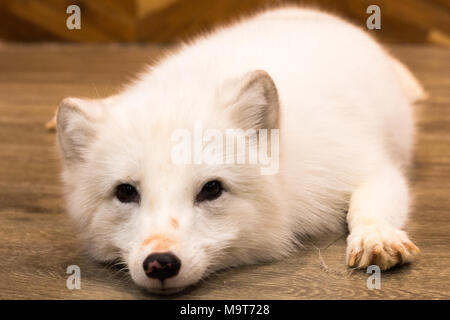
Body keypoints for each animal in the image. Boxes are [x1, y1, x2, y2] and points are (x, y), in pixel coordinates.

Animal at [56, 7, 422, 294]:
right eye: (126, 192)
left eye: (212, 189)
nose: (160, 263)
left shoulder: (366, 164)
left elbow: (367, 202)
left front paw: (375, 235)